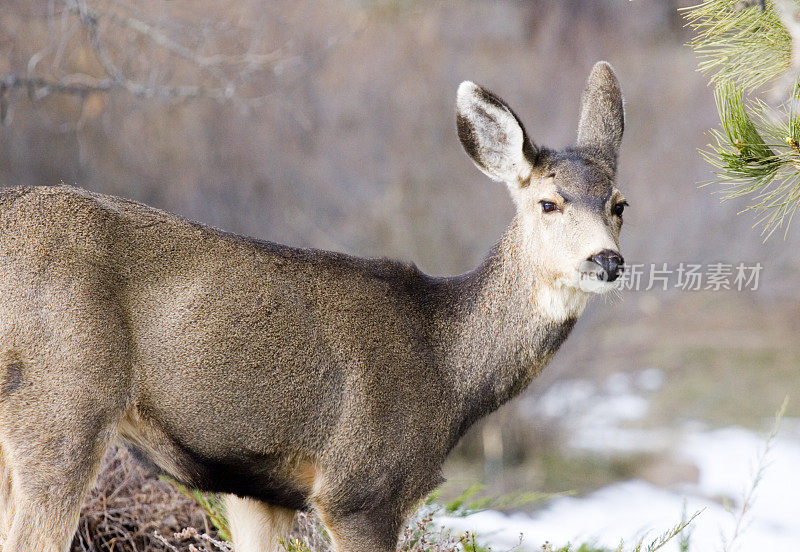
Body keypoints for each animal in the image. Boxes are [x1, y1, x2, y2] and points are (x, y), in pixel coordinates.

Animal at [0, 61, 624, 552]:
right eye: (548, 202)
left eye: (619, 203)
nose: (608, 260)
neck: (449, 369)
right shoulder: (361, 487)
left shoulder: (259, 490)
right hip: (65, 401)